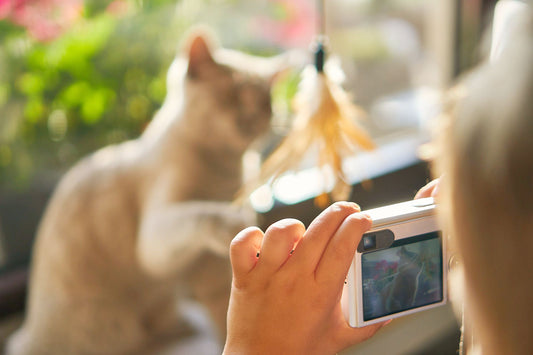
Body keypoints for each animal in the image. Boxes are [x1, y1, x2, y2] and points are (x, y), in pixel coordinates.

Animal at [5, 31, 286, 355]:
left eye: (265, 105)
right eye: (229, 97)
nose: (251, 119)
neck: (223, 171)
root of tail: (26, 335)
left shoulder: (213, 272)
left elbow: (225, 317)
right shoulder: (156, 232)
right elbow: (197, 212)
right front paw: (231, 220)